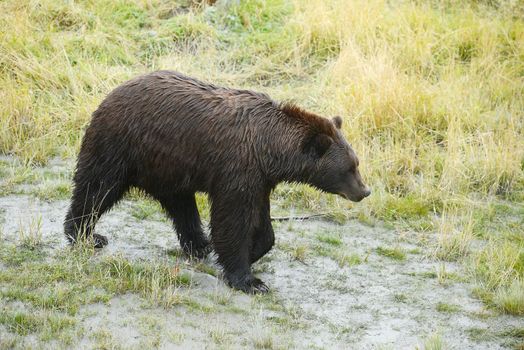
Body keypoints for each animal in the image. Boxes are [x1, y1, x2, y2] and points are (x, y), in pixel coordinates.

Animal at [64, 70, 368, 292]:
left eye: (357, 163)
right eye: (350, 168)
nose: (365, 191)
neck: (269, 148)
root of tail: (110, 94)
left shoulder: (259, 178)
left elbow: (261, 221)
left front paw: (253, 252)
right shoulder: (238, 169)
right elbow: (233, 219)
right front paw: (249, 280)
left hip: (169, 168)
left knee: (182, 207)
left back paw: (200, 244)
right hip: (122, 146)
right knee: (97, 187)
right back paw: (86, 235)